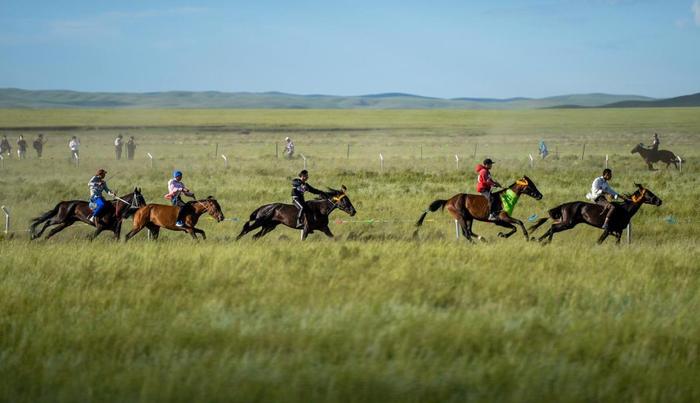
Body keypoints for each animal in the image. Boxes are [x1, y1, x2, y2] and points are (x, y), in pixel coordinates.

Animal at [532, 185, 660, 245]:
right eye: (649, 193)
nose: (660, 201)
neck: (624, 209)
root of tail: (564, 205)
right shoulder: (608, 230)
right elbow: (599, 241)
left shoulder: (618, 232)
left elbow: (617, 244)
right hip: (568, 223)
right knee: (553, 227)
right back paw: (546, 242)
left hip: (565, 222)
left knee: (552, 227)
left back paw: (538, 239)